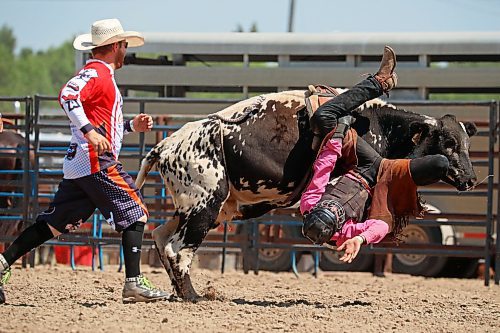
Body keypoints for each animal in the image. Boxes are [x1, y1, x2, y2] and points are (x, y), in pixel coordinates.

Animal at [136, 89, 476, 300]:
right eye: (448, 143)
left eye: (465, 143)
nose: (471, 178)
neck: (380, 125)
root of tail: (164, 147)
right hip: (204, 204)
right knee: (178, 249)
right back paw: (193, 297)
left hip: (196, 209)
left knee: (162, 237)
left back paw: (180, 292)